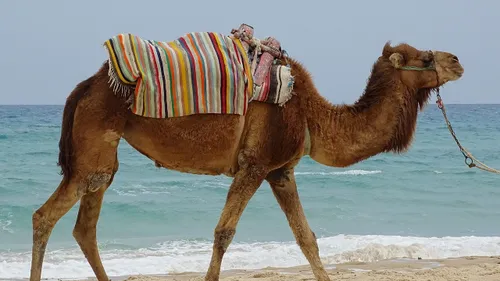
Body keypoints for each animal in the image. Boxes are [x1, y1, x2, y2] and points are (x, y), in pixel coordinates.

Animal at [29, 40, 462, 280]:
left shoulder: (281, 172)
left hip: (103, 156)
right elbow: (224, 233)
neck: (310, 115)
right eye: (425, 57)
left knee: (85, 227)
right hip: (94, 142)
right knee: (44, 217)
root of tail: (86, 86)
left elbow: (307, 239)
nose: (457, 61)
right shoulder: (254, 166)